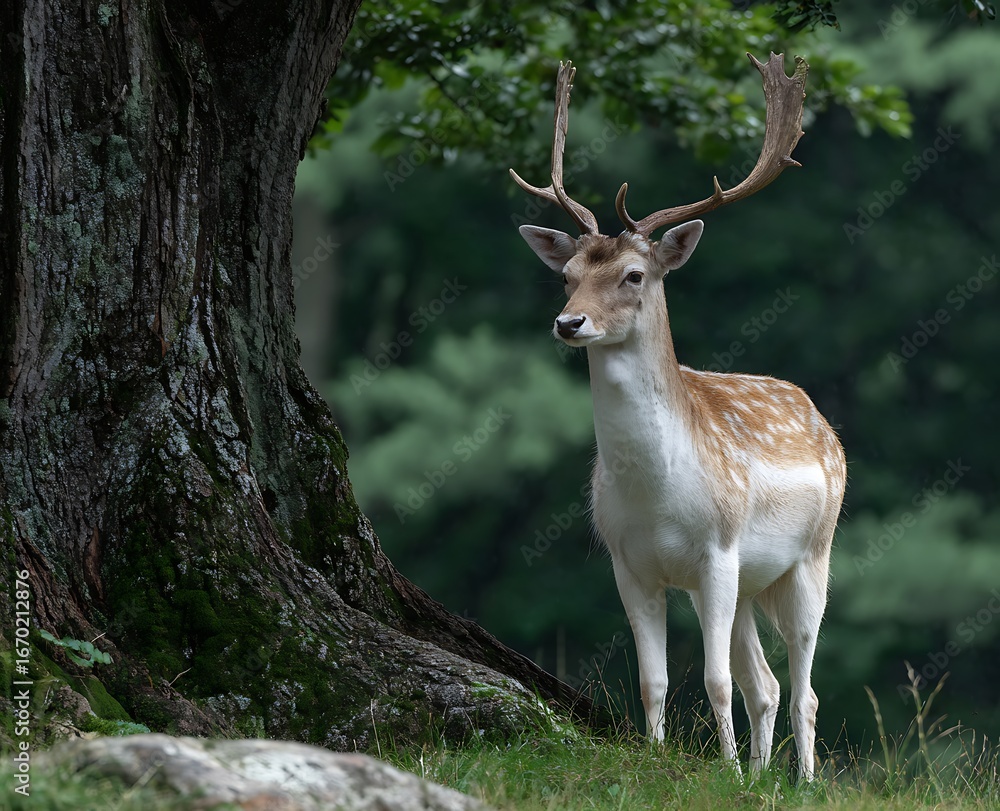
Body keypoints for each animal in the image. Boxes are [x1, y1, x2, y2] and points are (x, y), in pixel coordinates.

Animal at [510, 55, 846, 781]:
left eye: (635, 274)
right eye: (568, 273)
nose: (569, 322)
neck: (658, 495)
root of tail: (822, 420)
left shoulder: (717, 550)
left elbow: (715, 680)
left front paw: (724, 771)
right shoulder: (628, 563)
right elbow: (654, 680)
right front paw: (663, 758)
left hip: (811, 556)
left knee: (802, 686)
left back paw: (801, 781)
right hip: (750, 584)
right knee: (766, 683)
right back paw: (763, 780)